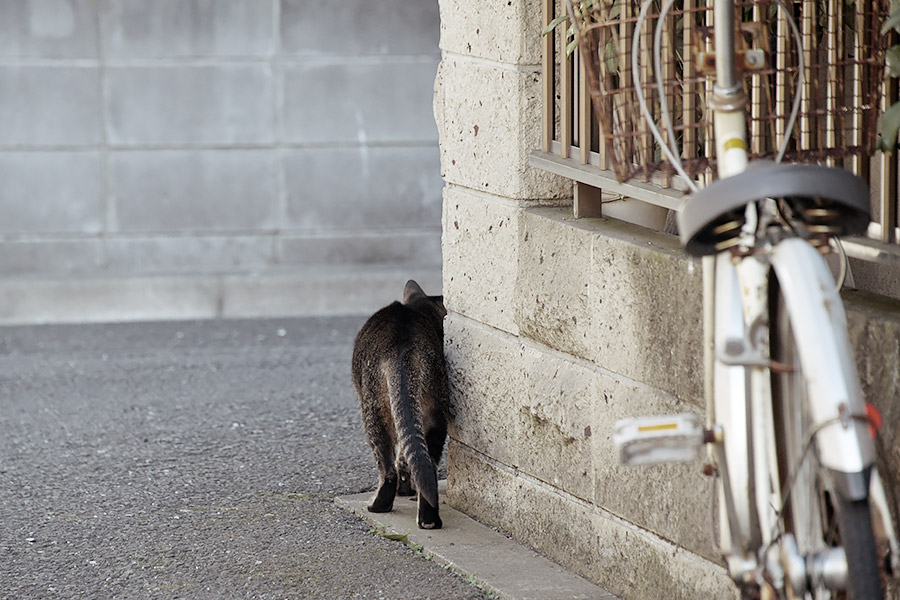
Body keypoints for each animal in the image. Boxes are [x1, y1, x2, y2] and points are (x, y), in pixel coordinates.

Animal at [352, 278, 450, 528]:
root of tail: (403, 346)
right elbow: (408, 456)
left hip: (372, 410)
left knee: (387, 469)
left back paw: (379, 505)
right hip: (436, 412)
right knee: (428, 464)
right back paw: (429, 519)